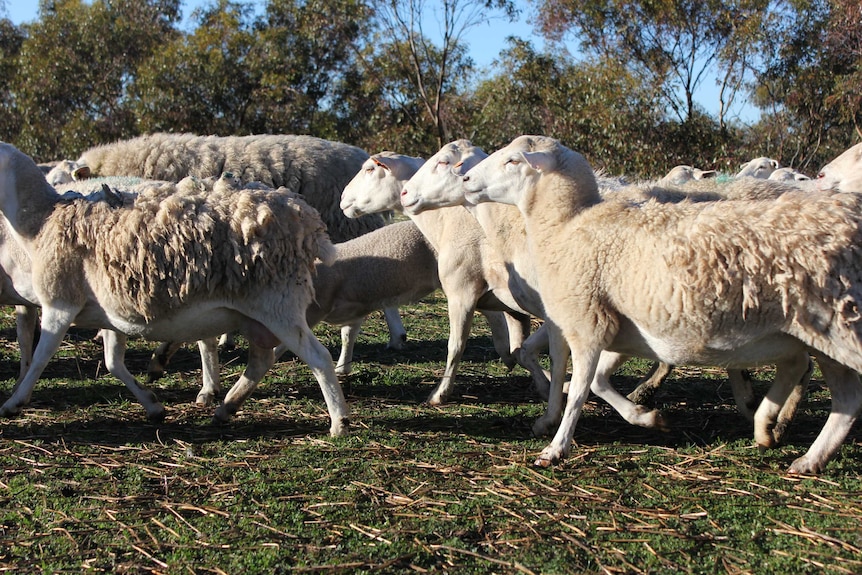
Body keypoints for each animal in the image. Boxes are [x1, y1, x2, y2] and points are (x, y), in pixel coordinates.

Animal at [0, 141, 352, 436]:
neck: (39, 221)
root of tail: (303, 218)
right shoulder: (110, 312)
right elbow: (113, 362)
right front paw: (153, 405)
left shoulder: (60, 303)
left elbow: (41, 356)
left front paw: (14, 403)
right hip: (255, 313)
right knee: (261, 359)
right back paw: (227, 407)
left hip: (277, 303)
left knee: (318, 357)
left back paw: (339, 422)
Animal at [340, 151, 540, 408]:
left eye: (369, 169)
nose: (343, 198)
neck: (449, 217)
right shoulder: (498, 299)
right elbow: (517, 346)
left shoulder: (463, 291)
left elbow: (456, 345)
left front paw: (440, 394)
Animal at [462, 136, 862, 476]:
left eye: (513, 160)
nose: (465, 178)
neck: (566, 225)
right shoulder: (606, 326)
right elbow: (583, 379)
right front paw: (640, 416)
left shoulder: (589, 322)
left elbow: (578, 389)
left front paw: (556, 448)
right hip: (808, 334)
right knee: (831, 390)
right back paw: (791, 444)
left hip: (841, 327)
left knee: (833, 387)